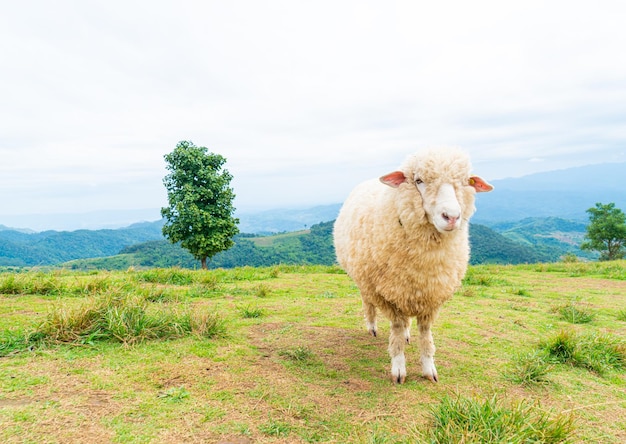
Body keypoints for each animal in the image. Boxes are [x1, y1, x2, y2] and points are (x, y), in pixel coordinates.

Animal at [332, 147, 492, 384]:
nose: (452, 217)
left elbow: (425, 333)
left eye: (466, 182)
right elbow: (396, 330)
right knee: (368, 302)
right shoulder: (388, 295)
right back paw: (372, 327)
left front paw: (429, 368)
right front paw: (398, 368)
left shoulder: (430, 295)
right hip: (365, 278)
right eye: (418, 180)